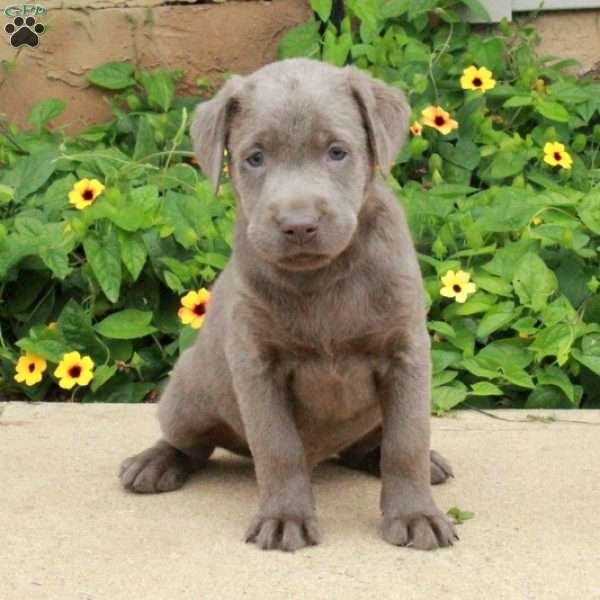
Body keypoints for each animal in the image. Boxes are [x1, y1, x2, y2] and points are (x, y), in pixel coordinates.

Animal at [119, 58, 458, 552]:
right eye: (255, 157)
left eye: (337, 151)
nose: (299, 225)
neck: (324, 277)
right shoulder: (257, 362)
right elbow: (277, 447)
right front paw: (285, 519)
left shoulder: (406, 352)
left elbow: (406, 442)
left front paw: (416, 515)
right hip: (186, 396)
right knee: (190, 442)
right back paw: (154, 463)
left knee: (372, 444)